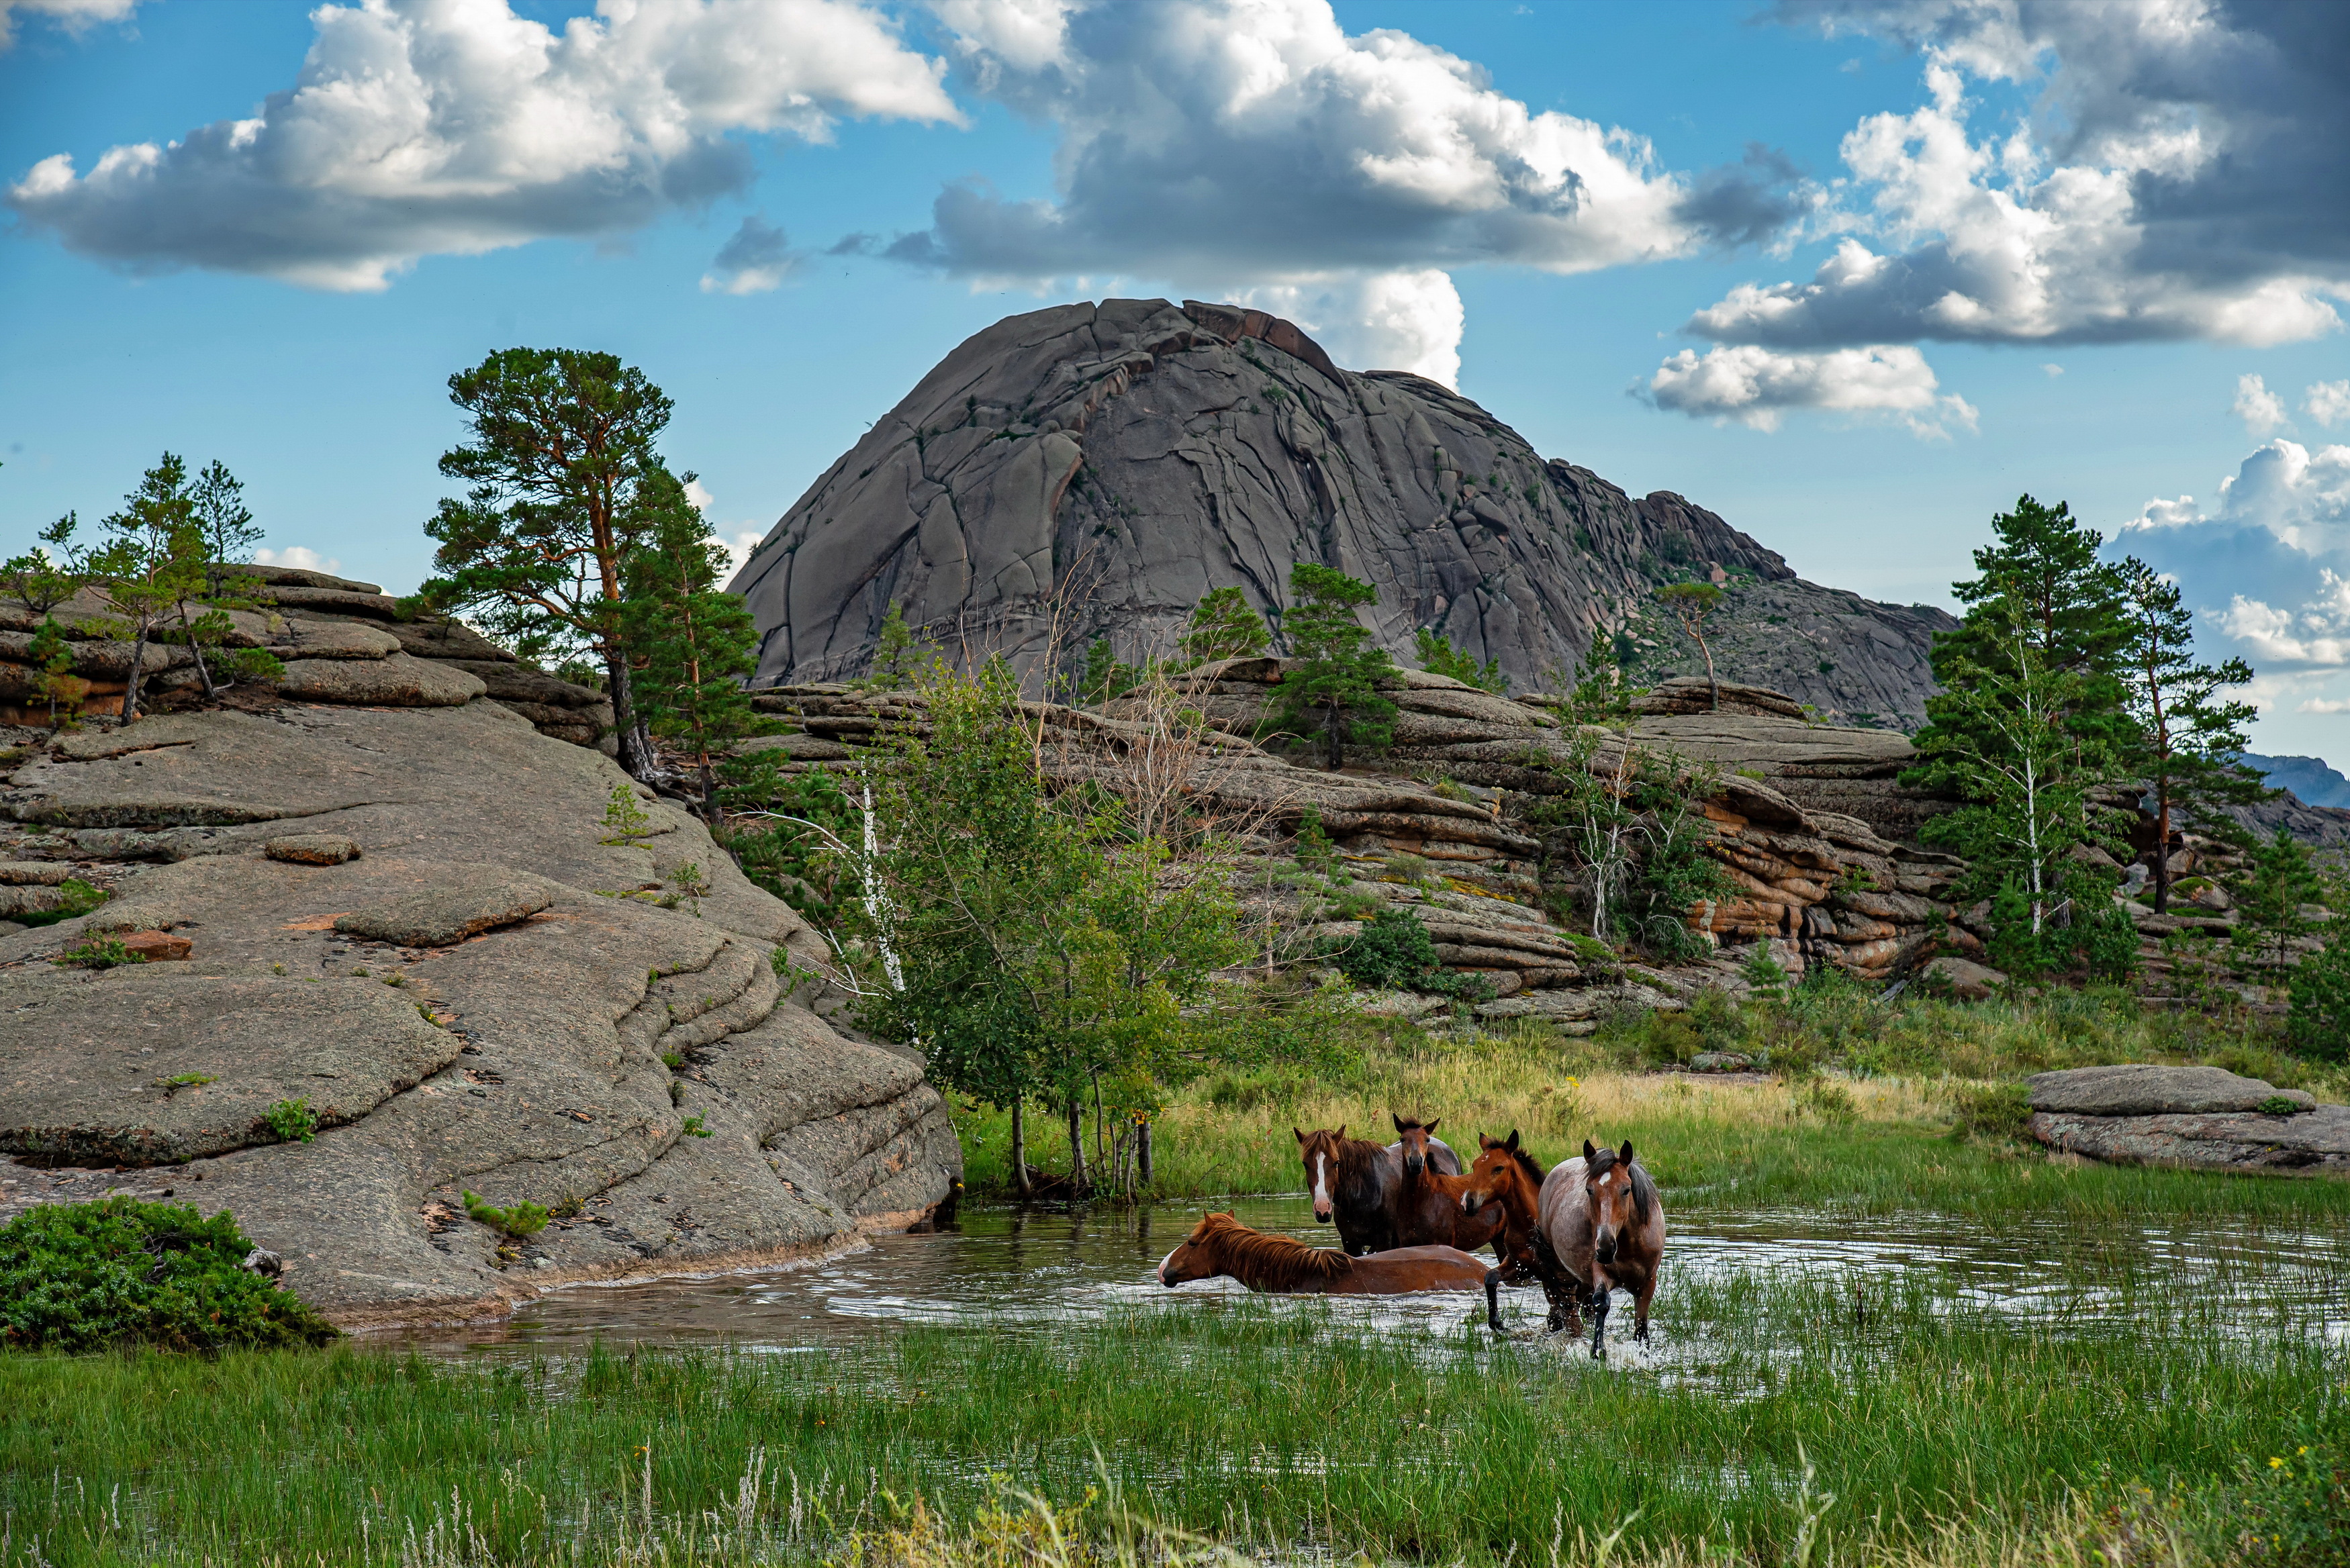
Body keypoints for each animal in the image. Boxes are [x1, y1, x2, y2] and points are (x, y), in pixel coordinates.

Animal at [1297, 1124, 1457, 1260]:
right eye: (1305, 1164)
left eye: (1336, 1162)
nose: (1322, 1210)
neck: (1361, 1195)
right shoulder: (1350, 1243)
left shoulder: (1384, 1242)